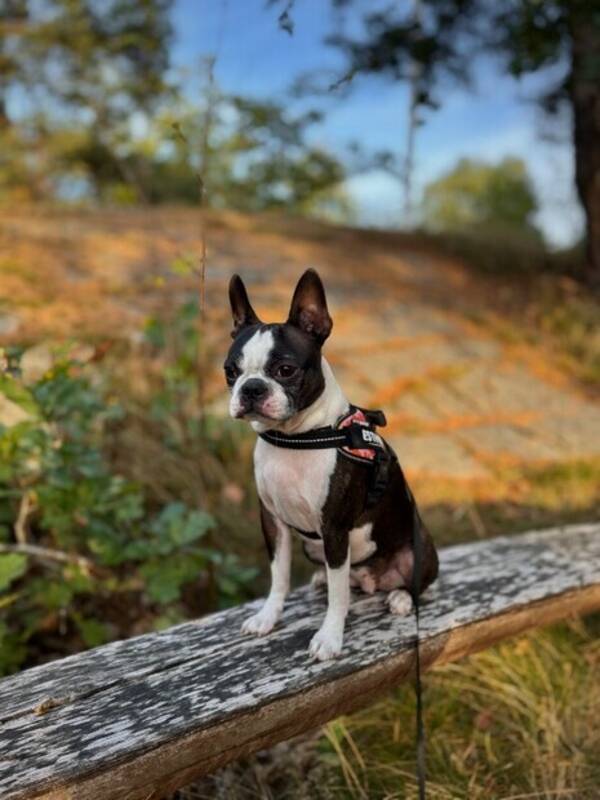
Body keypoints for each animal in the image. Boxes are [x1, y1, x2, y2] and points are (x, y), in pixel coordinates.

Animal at [223, 272, 438, 660]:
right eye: (231, 372)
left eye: (286, 370)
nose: (251, 389)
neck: (295, 438)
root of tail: (374, 579)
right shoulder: (273, 521)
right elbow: (279, 576)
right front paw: (268, 617)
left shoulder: (335, 527)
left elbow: (340, 598)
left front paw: (330, 637)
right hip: (315, 547)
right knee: (344, 577)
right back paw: (327, 578)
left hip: (422, 548)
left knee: (416, 585)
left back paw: (399, 597)